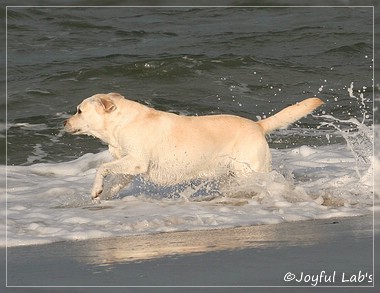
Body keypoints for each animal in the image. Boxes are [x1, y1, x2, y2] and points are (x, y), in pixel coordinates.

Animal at [63, 92, 322, 200]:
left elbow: (101, 168)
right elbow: (115, 180)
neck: (120, 125)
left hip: (249, 170)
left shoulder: (136, 161)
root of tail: (258, 125)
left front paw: (95, 190)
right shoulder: (129, 167)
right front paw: (103, 195)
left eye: (79, 111)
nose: (64, 122)